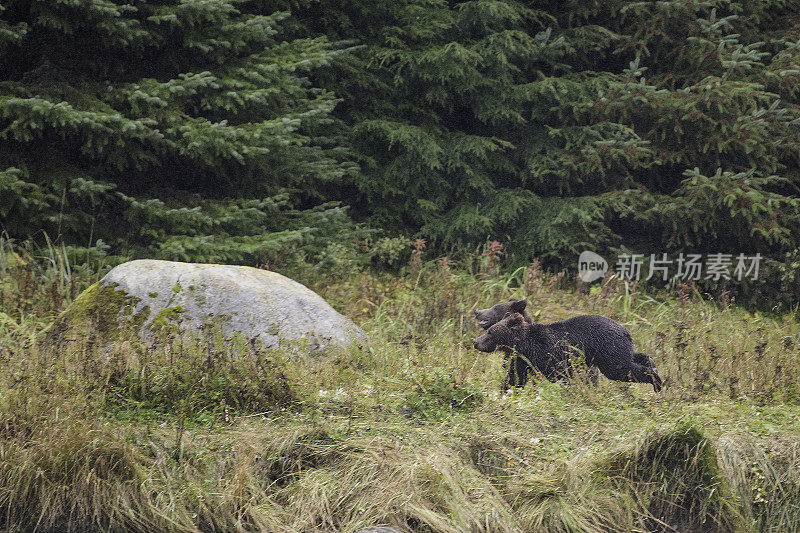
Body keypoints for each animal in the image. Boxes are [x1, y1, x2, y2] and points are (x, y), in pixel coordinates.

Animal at [468, 312, 664, 390]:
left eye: (490, 332)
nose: (475, 341)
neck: (524, 343)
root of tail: (625, 330)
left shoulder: (547, 352)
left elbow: (560, 373)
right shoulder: (523, 358)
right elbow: (515, 377)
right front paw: (505, 391)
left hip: (608, 349)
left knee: (621, 369)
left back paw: (656, 381)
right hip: (617, 348)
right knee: (633, 357)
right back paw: (652, 363)